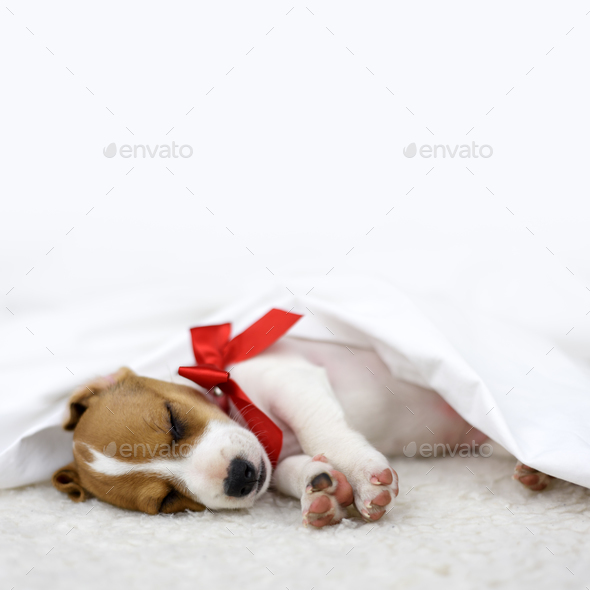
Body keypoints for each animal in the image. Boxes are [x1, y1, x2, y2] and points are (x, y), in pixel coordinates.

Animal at [53, 338, 548, 528]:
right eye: (167, 501)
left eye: (173, 419)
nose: (240, 478)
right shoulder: (274, 463)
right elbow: (295, 469)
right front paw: (322, 489)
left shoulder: (288, 376)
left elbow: (322, 433)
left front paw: (364, 477)